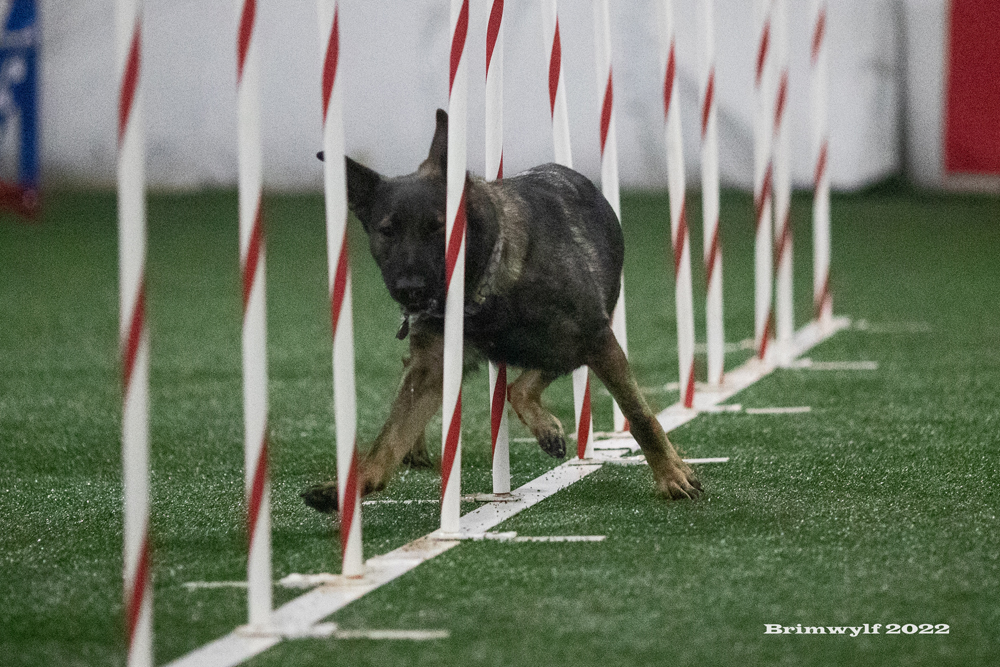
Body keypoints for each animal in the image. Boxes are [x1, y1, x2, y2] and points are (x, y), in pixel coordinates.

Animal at [302, 109, 700, 512]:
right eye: (387, 231)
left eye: (437, 227)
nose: (409, 289)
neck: (484, 286)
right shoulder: (434, 366)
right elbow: (389, 437)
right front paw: (352, 486)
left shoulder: (598, 340)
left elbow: (640, 416)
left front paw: (671, 475)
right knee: (504, 383)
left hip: (573, 343)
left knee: (532, 380)